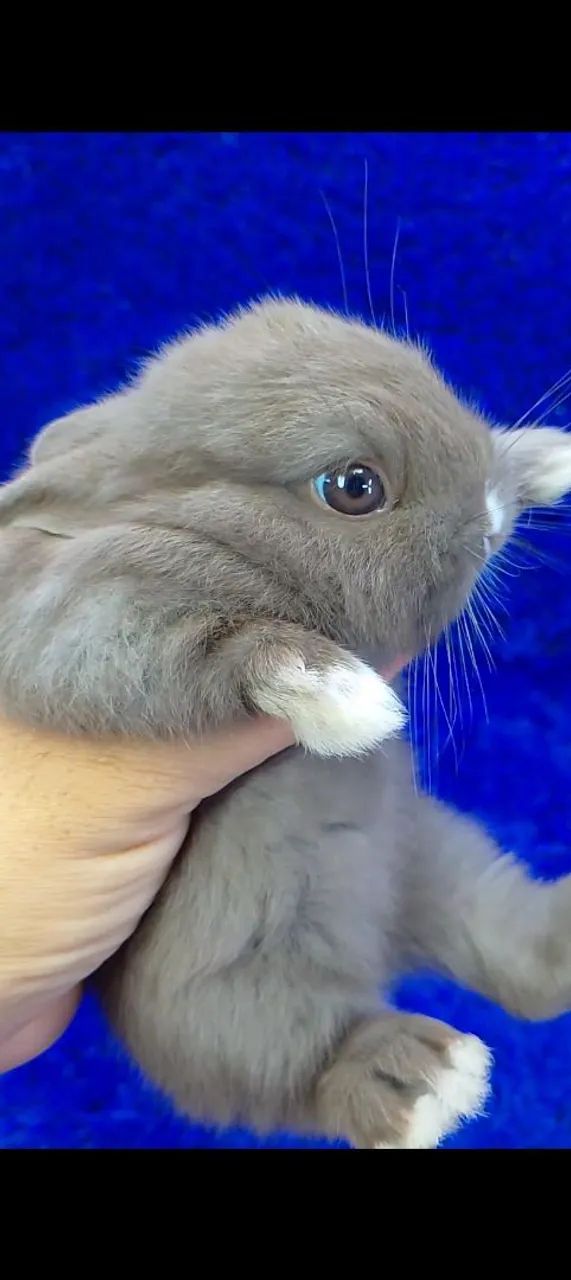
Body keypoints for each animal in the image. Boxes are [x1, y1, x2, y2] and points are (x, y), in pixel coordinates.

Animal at [1, 296, 571, 1148]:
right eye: (353, 487)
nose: (488, 511)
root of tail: (384, 942)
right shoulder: (85, 616)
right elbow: (219, 638)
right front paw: (345, 698)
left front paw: (544, 456)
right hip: (237, 990)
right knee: (301, 1066)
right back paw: (423, 1080)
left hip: (434, 853)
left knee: (512, 952)